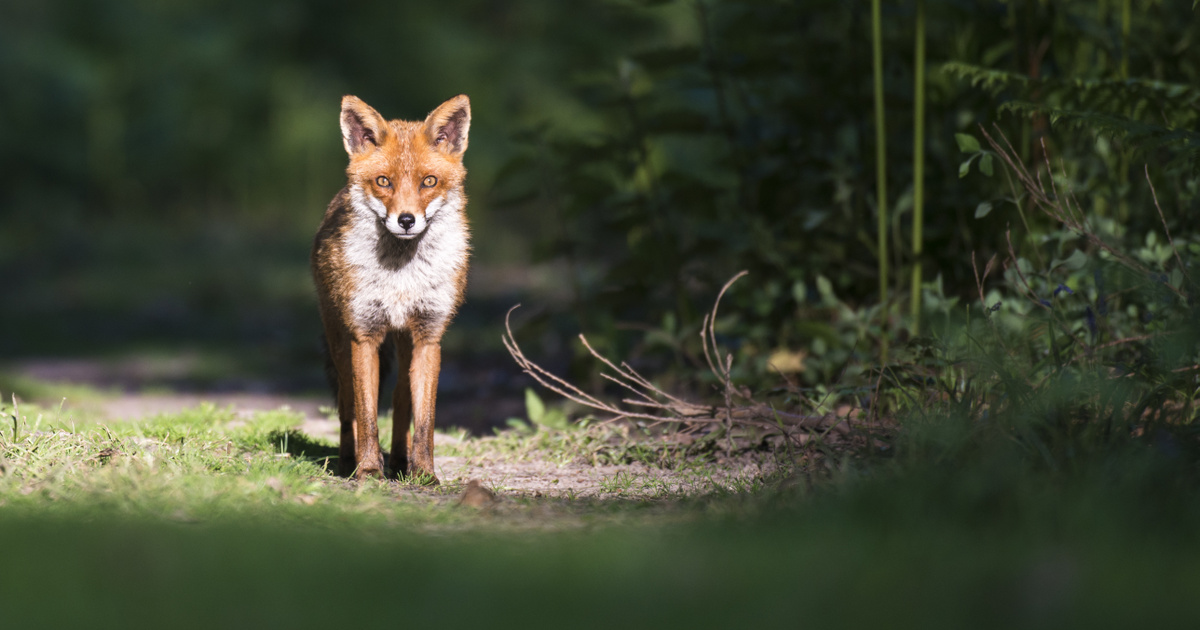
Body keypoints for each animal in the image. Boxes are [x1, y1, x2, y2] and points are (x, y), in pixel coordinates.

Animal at [312, 93, 470, 480]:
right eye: (384, 181)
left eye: (429, 181)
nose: (407, 220)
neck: (401, 277)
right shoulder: (364, 336)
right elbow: (367, 415)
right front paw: (369, 469)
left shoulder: (429, 337)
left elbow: (425, 420)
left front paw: (425, 472)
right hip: (339, 343)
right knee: (347, 405)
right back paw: (348, 460)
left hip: (406, 343)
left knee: (401, 399)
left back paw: (400, 459)